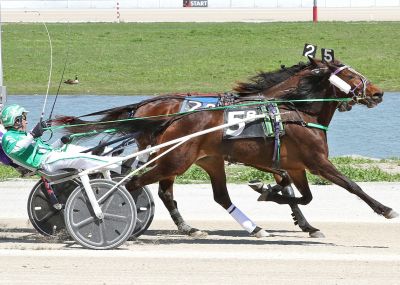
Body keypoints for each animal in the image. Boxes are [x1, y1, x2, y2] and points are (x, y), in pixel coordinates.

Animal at [70, 58, 398, 235]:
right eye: (350, 74)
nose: (378, 93)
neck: (294, 110)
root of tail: (145, 106)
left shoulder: (291, 165)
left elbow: (300, 195)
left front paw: (280, 203)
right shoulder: (316, 162)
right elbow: (350, 185)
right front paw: (385, 209)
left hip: (203, 160)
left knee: (202, 194)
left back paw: (228, 227)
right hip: (174, 158)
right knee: (137, 183)